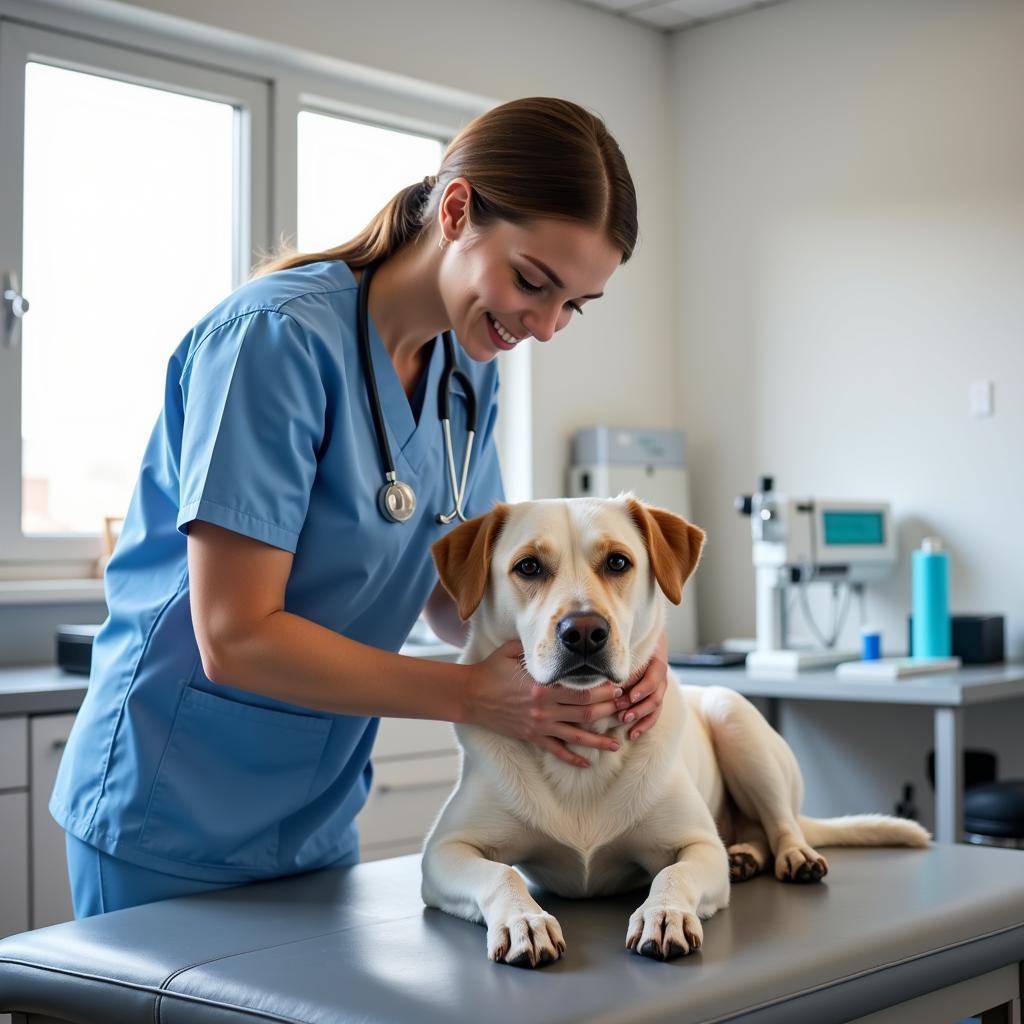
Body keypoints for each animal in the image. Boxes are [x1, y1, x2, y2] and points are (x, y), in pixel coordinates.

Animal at [419, 495, 933, 966]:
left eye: (618, 561)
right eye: (528, 566)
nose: (583, 631)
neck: (588, 746)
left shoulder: (700, 845)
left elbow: (672, 874)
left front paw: (662, 914)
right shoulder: (443, 853)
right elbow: (500, 874)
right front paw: (524, 921)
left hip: (736, 720)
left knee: (781, 823)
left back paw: (791, 856)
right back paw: (746, 854)